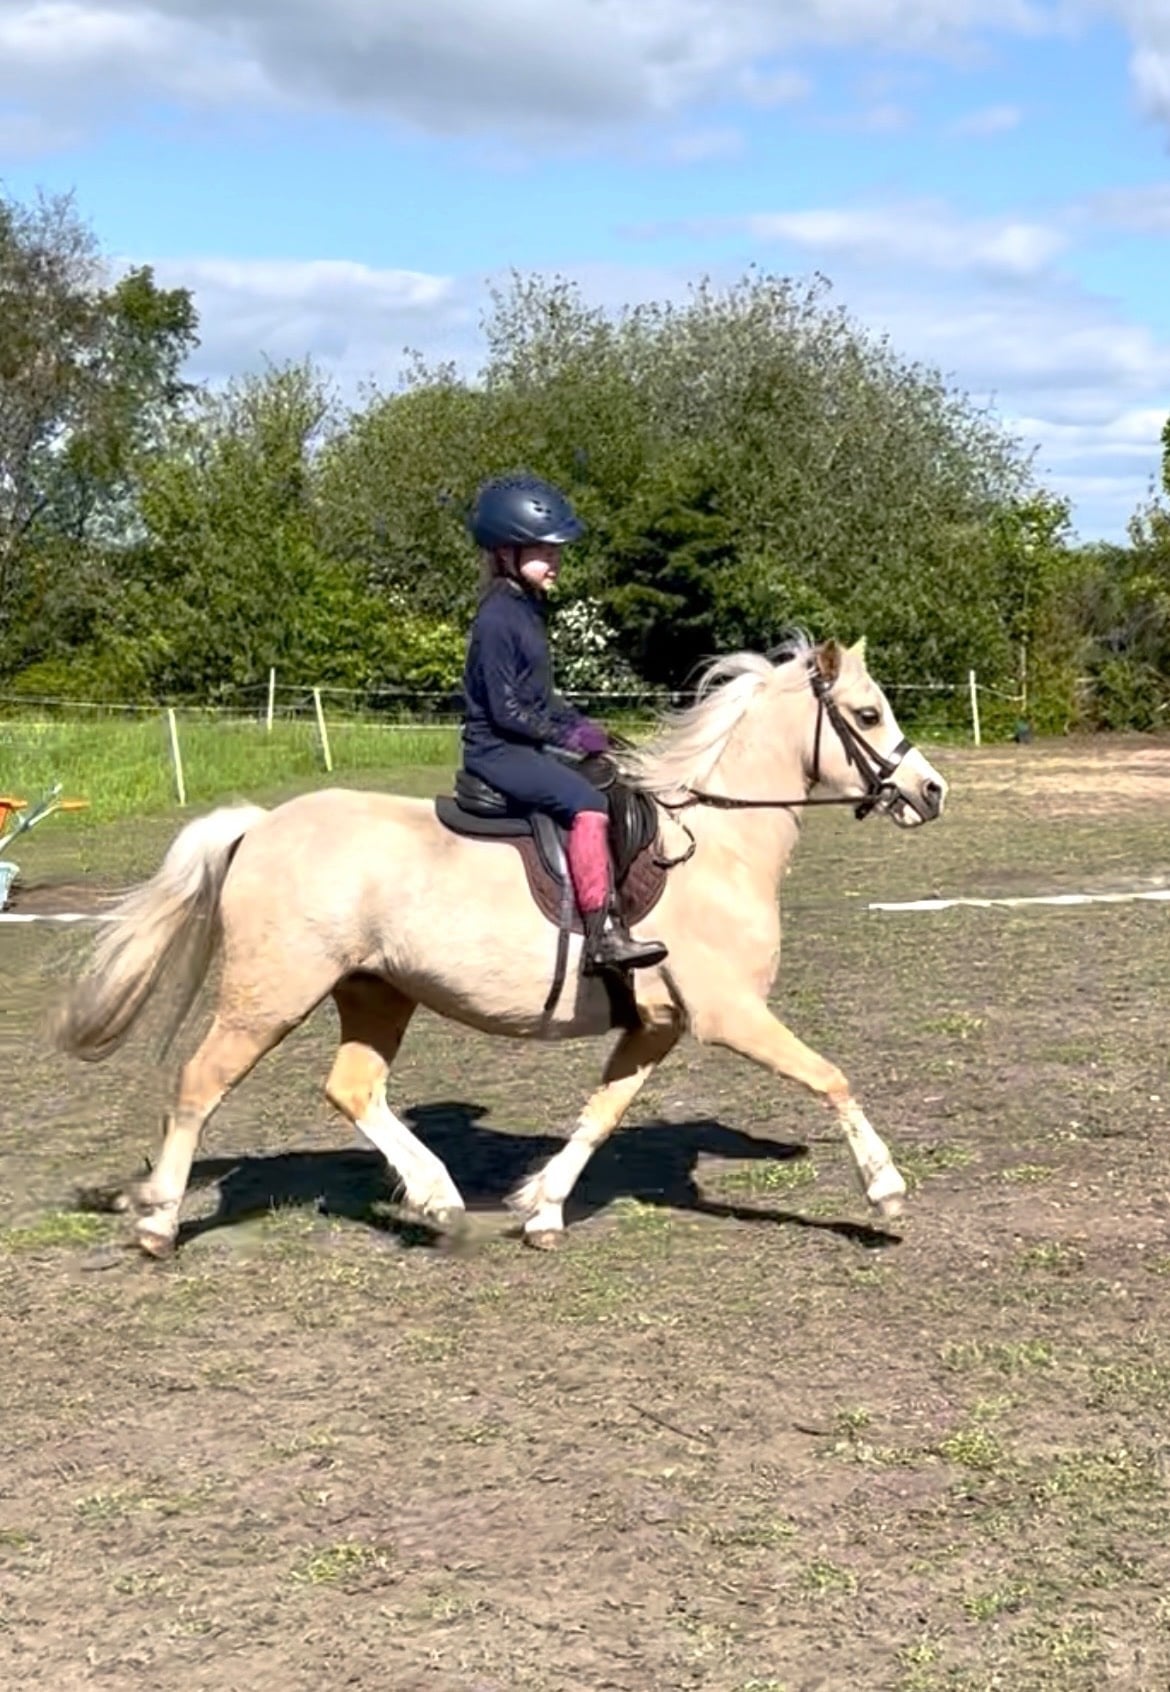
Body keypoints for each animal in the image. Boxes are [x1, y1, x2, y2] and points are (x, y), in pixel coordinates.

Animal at [55, 634, 947, 1258]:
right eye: (868, 715)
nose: (930, 792)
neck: (717, 843)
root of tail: (260, 823)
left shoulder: (656, 1026)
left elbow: (600, 1116)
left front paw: (542, 1208)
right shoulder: (730, 1014)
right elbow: (832, 1077)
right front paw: (886, 1191)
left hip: (377, 993)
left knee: (353, 1089)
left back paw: (438, 1199)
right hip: (268, 996)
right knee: (199, 1085)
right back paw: (159, 1224)